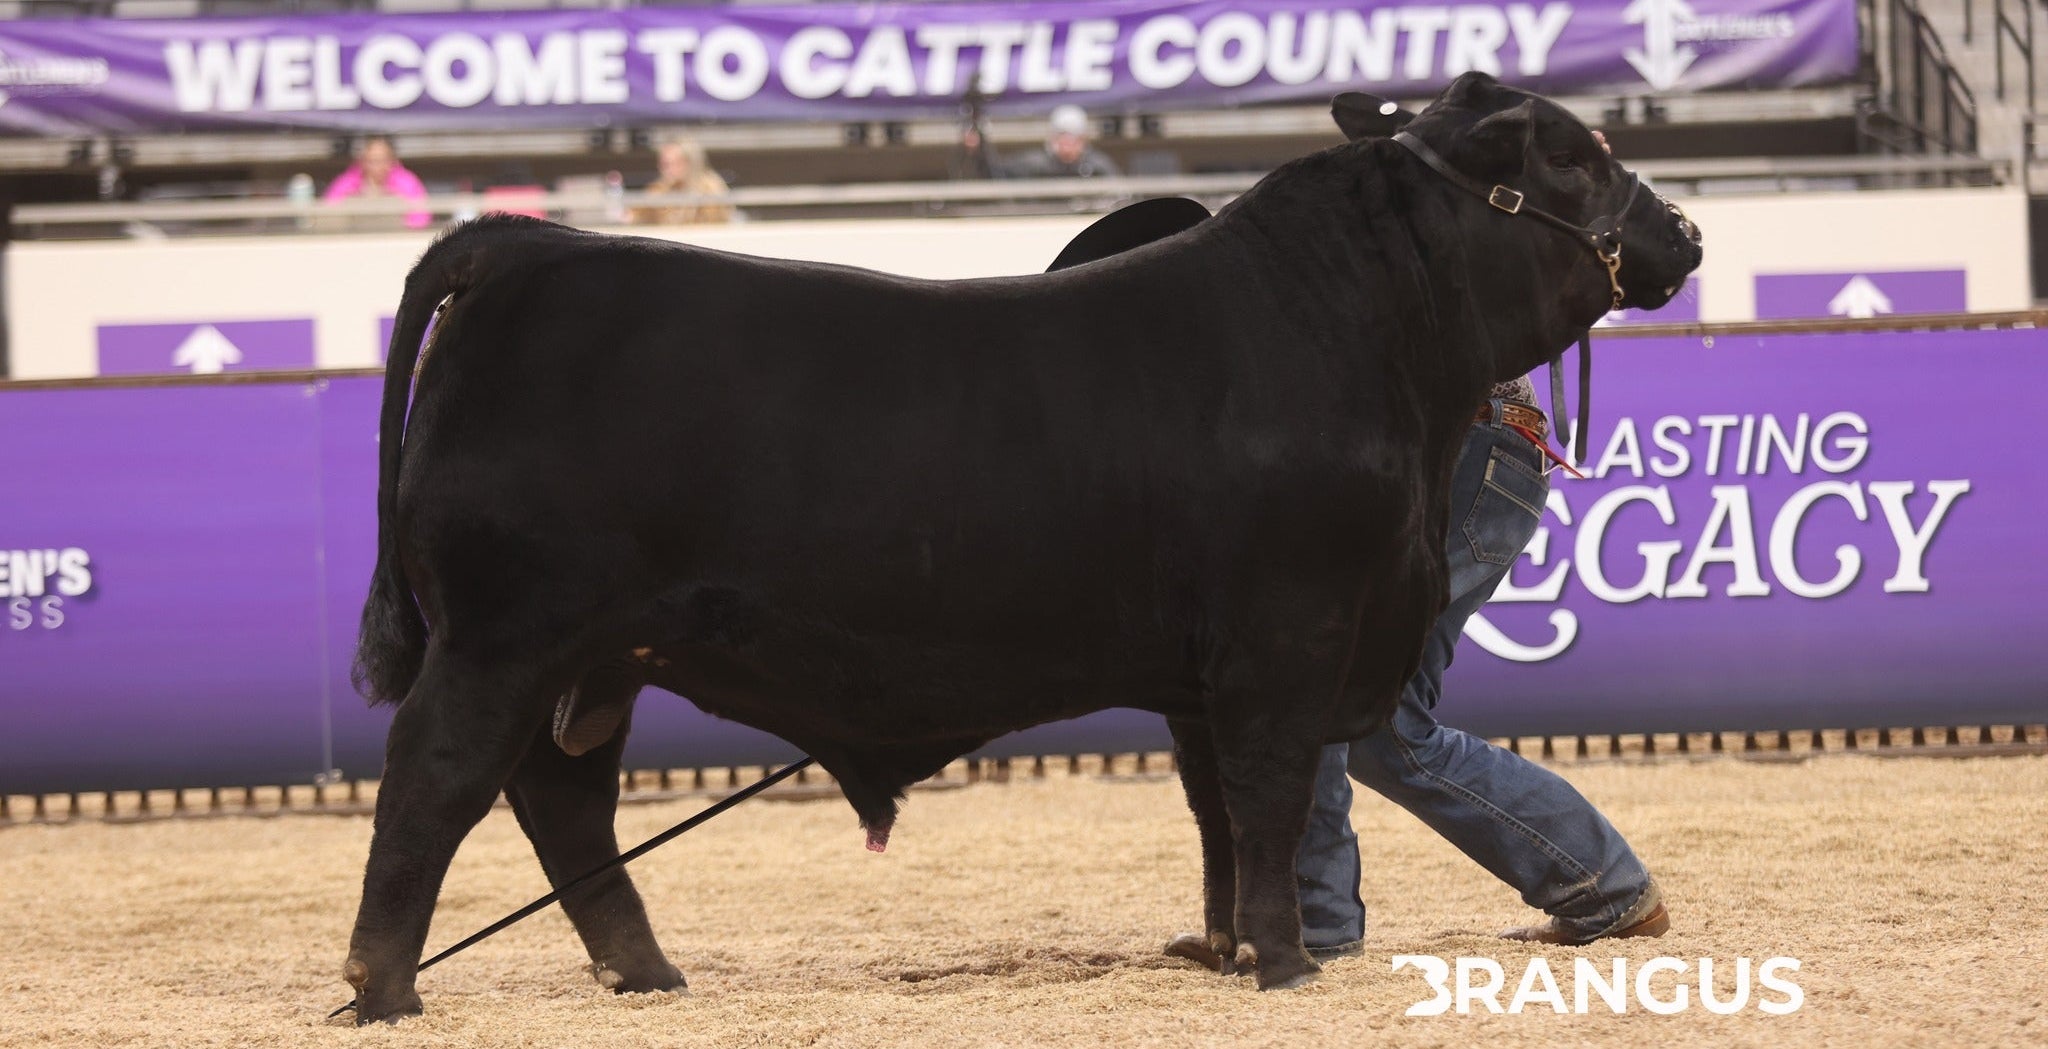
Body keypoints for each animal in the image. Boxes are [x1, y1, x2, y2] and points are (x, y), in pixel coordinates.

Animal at [340, 72, 1702, 1023]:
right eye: (1574, 157)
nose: (1684, 232)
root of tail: (530, 242)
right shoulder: (1286, 636)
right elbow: (1265, 799)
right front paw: (1284, 964)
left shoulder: (1205, 671)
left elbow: (1215, 809)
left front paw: (1225, 948)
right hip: (504, 632)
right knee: (435, 779)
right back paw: (385, 987)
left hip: (593, 655)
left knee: (562, 799)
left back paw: (647, 973)